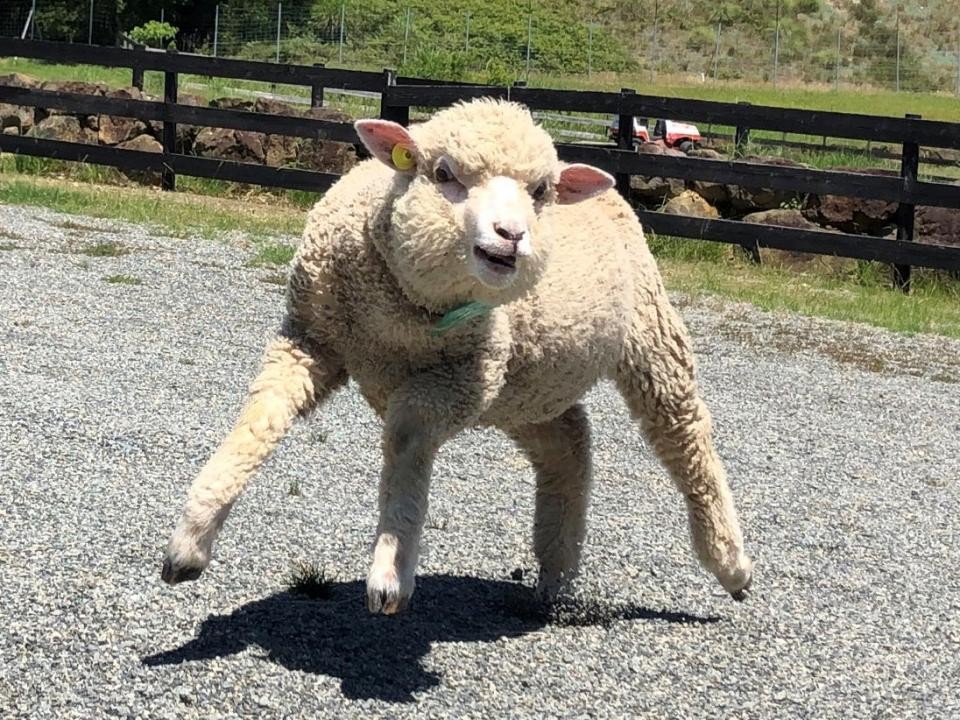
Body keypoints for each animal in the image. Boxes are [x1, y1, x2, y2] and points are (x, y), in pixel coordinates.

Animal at [161, 95, 752, 612]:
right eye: (443, 173)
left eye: (540, 191)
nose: (512, 234)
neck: (401, 314)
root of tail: (607, 183)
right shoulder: (309, 340)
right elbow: (259, 417)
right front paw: (190, 541)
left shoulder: (463, 379)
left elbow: (404, 439)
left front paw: (391, 570)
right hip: (528, 385)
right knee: (569, 445)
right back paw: (557, 573)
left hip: (648, 336)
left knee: (684, 436)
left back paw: (730, 565)